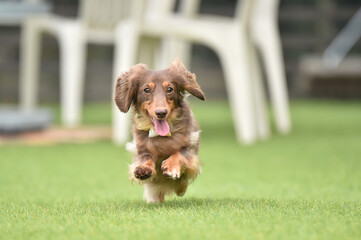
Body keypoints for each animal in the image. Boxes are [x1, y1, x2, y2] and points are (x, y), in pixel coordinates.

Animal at [114, 59, 204, 202]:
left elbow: (180, 153)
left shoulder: (191, 149)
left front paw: (171, 167)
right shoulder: (140, 149)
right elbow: (145, 157)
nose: (161, 113)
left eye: (170, 89)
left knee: (181, 186)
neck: (161, 136)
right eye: (146, 90)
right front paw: (144, 169)